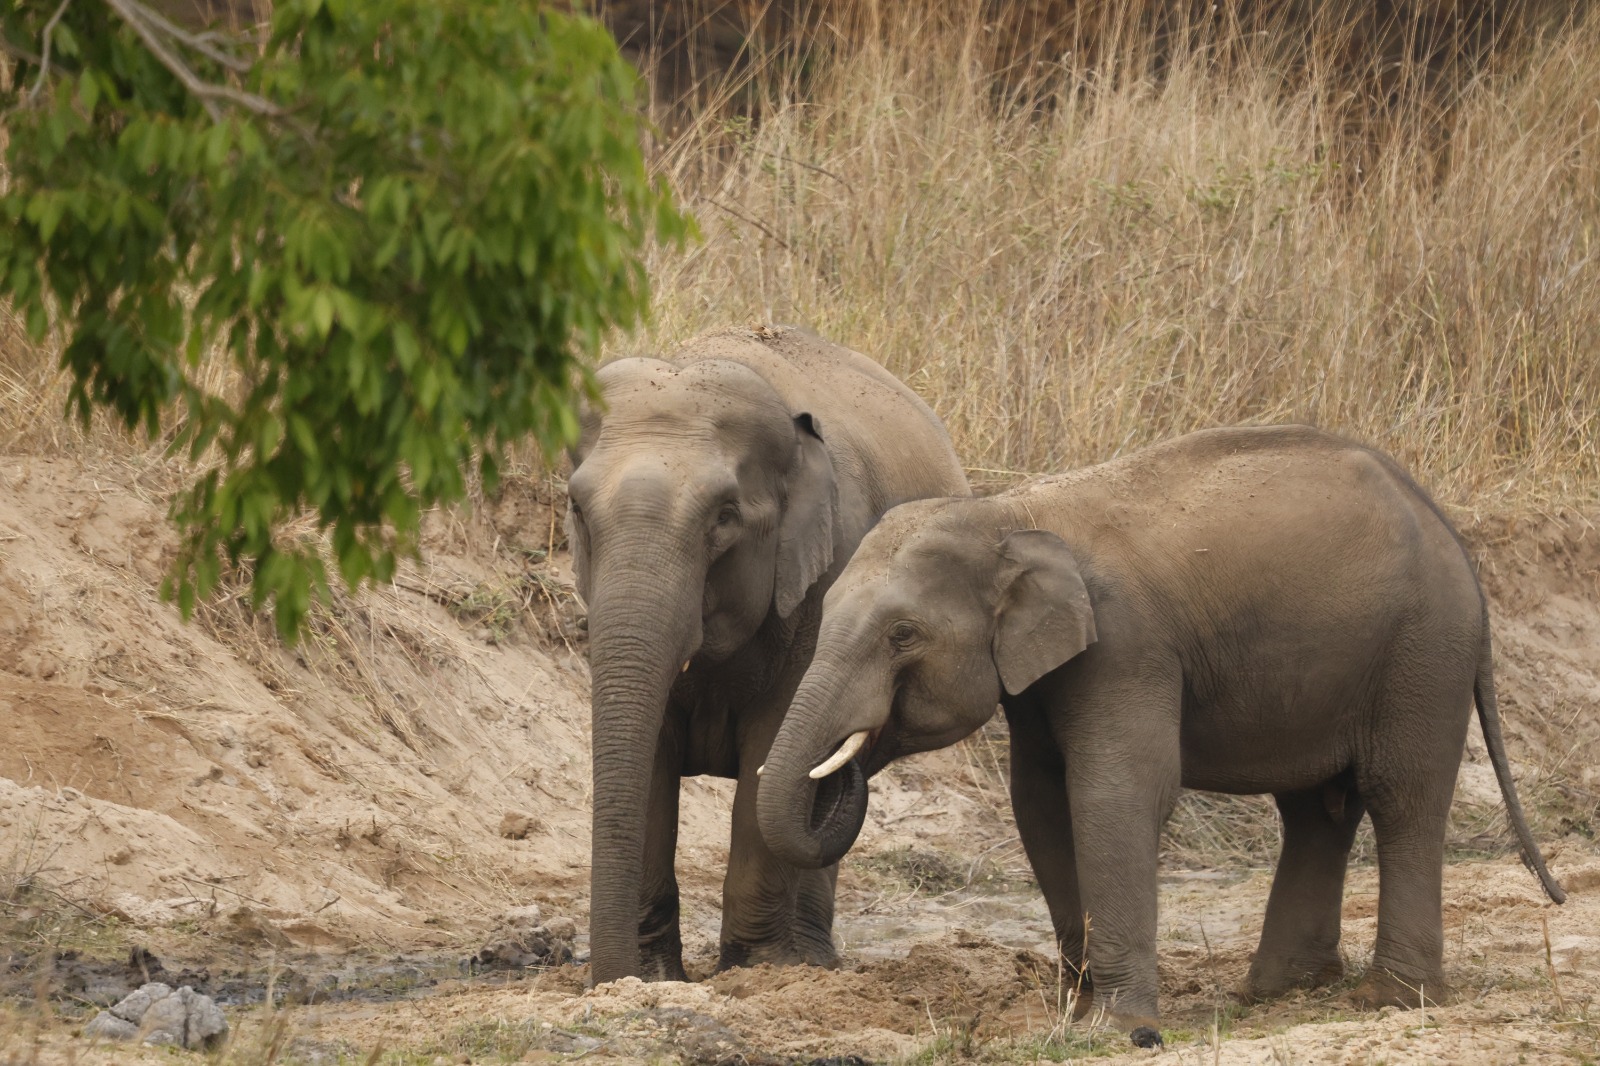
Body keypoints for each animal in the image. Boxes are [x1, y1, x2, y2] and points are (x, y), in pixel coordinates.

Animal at [567, 324, 968, 984]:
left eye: (726, 517)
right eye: (575, 508)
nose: (614, 978)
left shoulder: (830, 578)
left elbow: (772, 747)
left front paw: (756, 971)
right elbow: (650, 759)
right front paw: (654, 978)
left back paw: (810, 960)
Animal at [756, 424, 1564, 1033]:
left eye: (903, 636)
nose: (849, 762)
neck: (1007, 515)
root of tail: (1455, 541)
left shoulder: (1126, 647)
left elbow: (1116, 793)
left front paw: (1117, 1030)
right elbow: (1040, 803)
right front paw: (1080, 1009)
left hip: (1422, 652)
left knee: (1402, 797)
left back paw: (1390, 1000)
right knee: (1316, 810)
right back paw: (1279, 991)